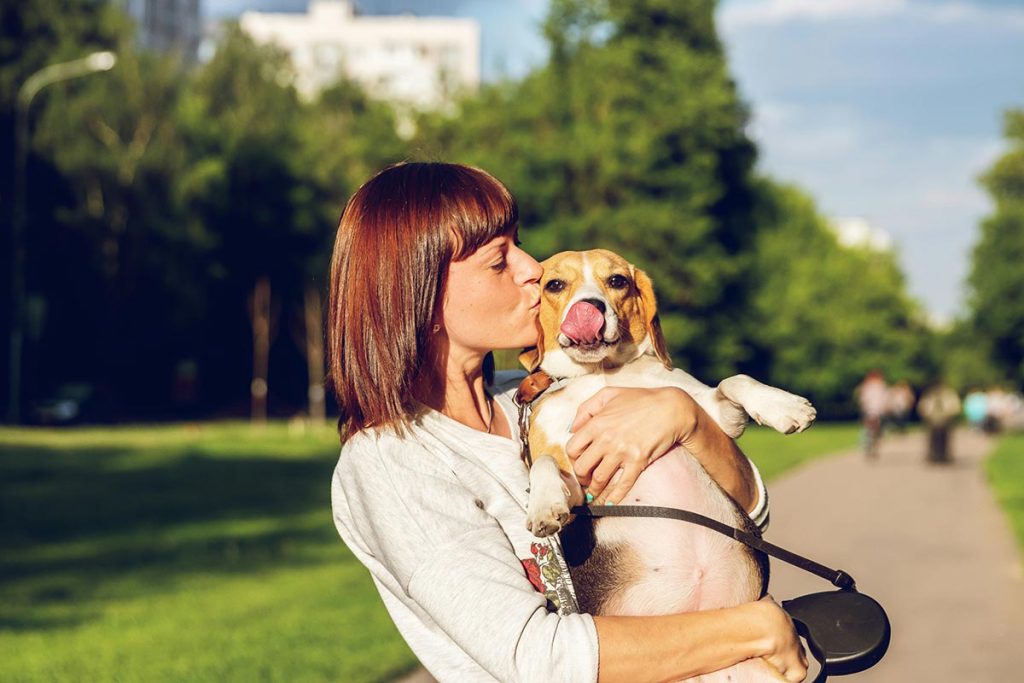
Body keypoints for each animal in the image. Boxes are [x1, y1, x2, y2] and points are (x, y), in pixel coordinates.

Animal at [520, 248, 815, 679]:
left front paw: (784, 406)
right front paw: (543, 506)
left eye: (617, 281)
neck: (603, 374)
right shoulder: (577, 484)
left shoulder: (714, 414)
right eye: (554, 284)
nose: (590, 308)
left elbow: (734, 380)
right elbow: (542, 462)